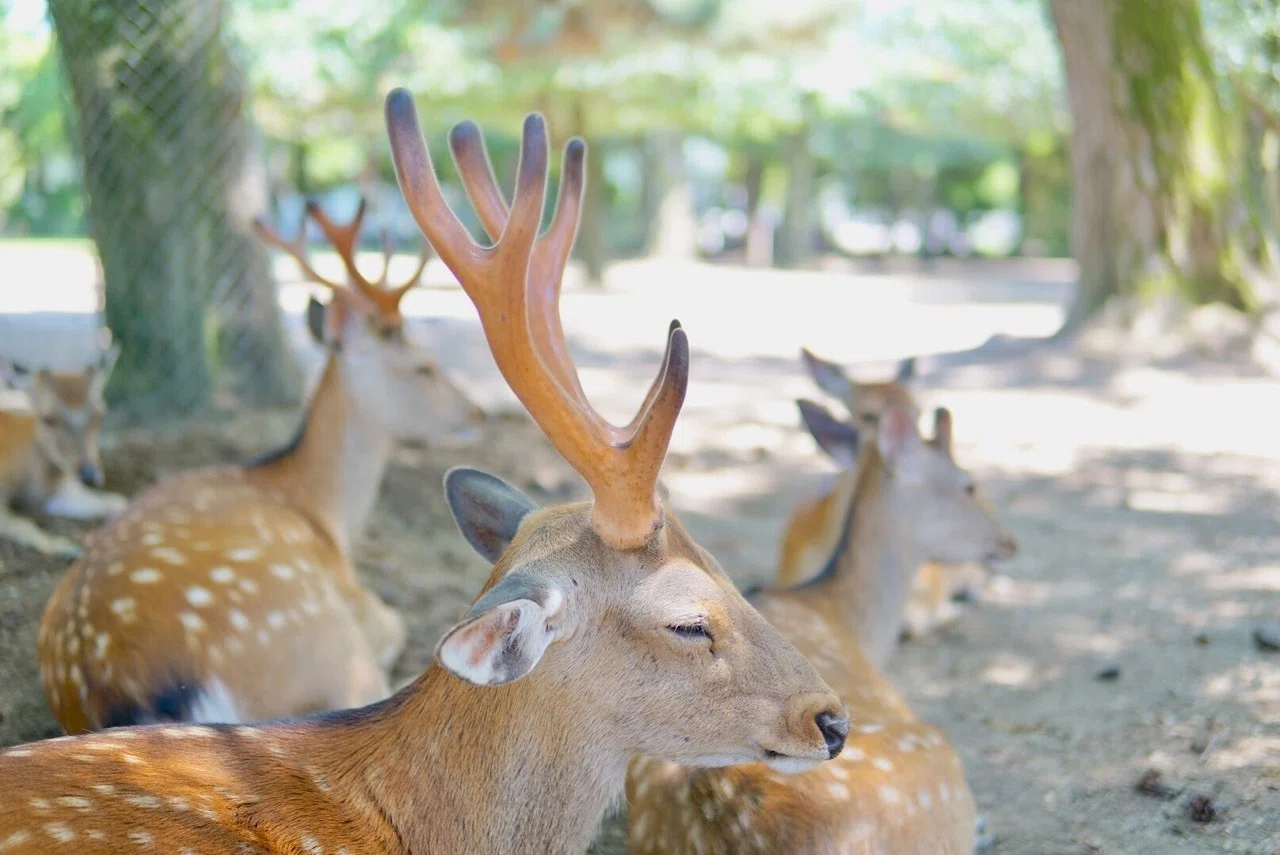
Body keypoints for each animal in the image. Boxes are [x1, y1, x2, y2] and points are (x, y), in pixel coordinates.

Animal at [0, 334, 125, 559]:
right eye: (48, 418)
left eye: (100, 415)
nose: (90, 475)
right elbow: (21, 524)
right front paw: (66, 547)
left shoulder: (60, 491)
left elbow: (118, 501)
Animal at [36, 195, 487, 735]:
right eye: (422, 366)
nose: (479, 412)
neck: (323, 510)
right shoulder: (359, 601)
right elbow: (398, 625)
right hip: (326, 646)